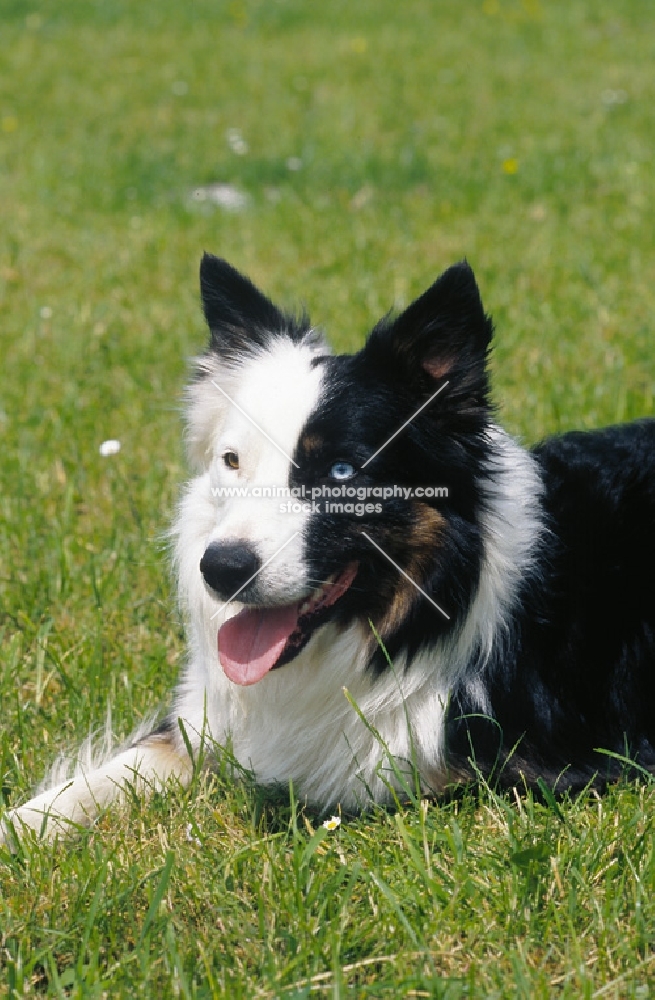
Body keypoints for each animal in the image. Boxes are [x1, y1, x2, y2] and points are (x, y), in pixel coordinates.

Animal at [6, 256, 655, 836]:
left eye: (342, 471)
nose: (222, 569)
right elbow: (101, 778)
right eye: (232, 461)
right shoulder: (203, 724)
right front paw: (20, 828)